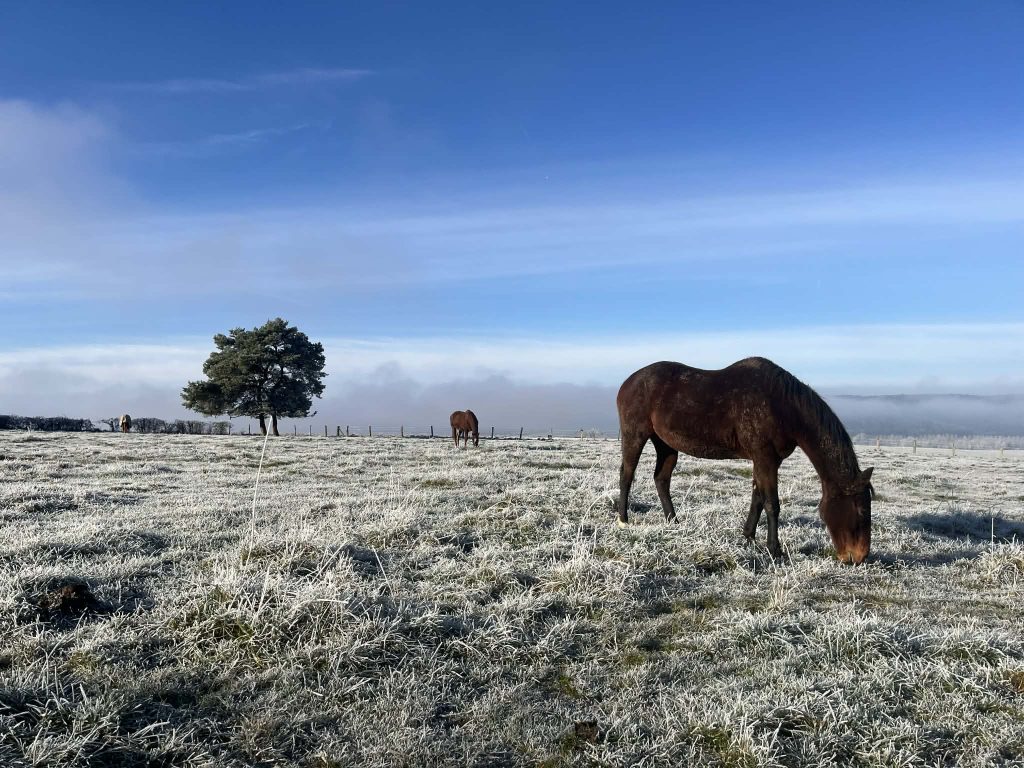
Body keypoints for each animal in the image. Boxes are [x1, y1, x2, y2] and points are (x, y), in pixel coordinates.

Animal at [616, 358, 874, 564]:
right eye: (860, 510)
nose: (859, 557)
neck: (781, 405)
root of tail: (627, 383)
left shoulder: (767, 460)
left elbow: (757, 498)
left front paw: (748, 537)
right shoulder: (764, 457)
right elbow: (771, 503)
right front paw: (774, 550)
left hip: (666, 445)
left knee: (661, 479)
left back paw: (674, 522)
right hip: (635, 436)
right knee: (627, 475)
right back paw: (623, 520)